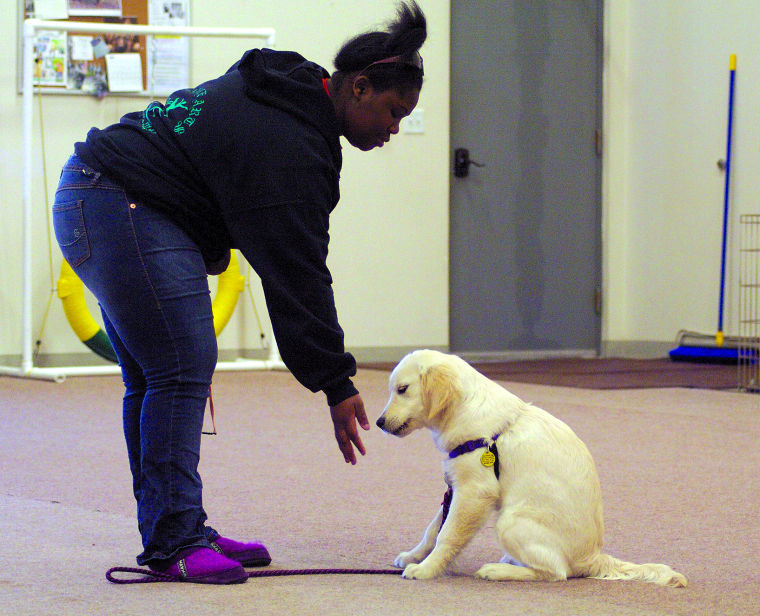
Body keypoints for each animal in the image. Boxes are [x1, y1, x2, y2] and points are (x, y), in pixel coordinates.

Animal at [378, 352, 684, 588]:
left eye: (402, 389)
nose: (379, 422)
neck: (466, 411)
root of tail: (593, 558)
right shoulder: (456, 488)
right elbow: (432, 529)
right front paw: (414, 556)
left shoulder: (474, 492)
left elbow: (447, 534)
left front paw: (426, 569)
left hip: (510, 521)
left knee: (557, 572)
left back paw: (498, 570)